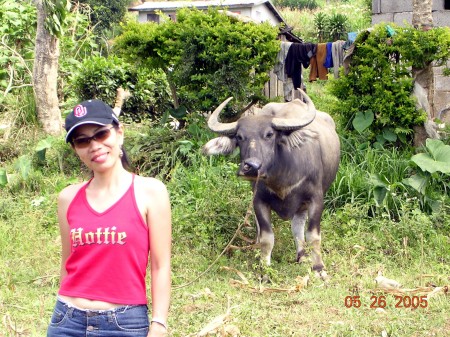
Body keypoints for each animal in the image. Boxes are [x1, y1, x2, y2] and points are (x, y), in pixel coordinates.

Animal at [202, 88, 340, 276]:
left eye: (269, 134)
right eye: (239, 137)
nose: (251, 166)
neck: (281, 180)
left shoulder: (316, 199)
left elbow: (313, 235)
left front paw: (318, 268)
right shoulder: (258, 201)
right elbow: (267, 237)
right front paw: (264, 269)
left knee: (298, 225)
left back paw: (302, 256)